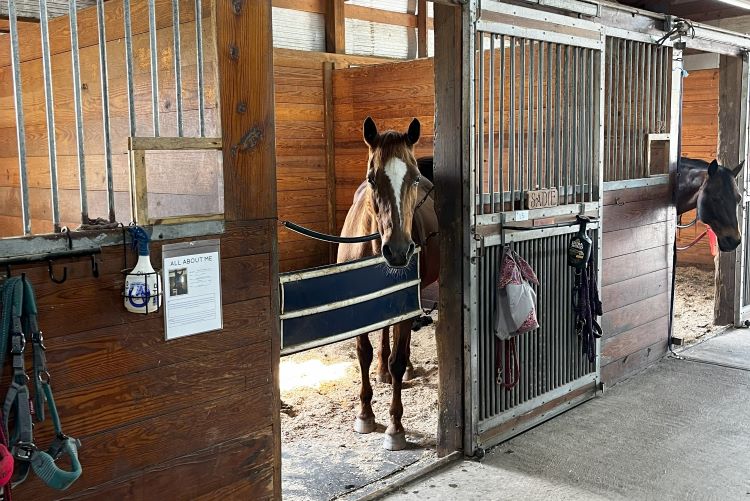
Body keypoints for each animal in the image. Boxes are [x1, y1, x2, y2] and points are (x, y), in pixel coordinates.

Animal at [336, 117, 440, 450]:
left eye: (414, 179)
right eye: (372, 178)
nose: (398, 251)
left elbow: (399, 357)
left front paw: (395, 427)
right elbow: (363, 353)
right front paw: (365, 414)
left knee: (400, 347)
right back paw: (382, 371)